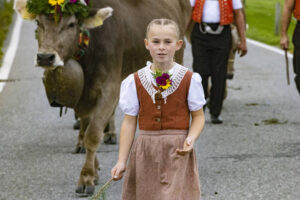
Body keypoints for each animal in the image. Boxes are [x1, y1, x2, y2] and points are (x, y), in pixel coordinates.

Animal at [15, 0, 191, 196]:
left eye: (71, 24)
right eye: (38, 22)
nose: (45, 57)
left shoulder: (109, 88)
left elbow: (93, 134)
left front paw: (86, 178)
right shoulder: (84, 96)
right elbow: (87, 128)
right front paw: (94, 170)